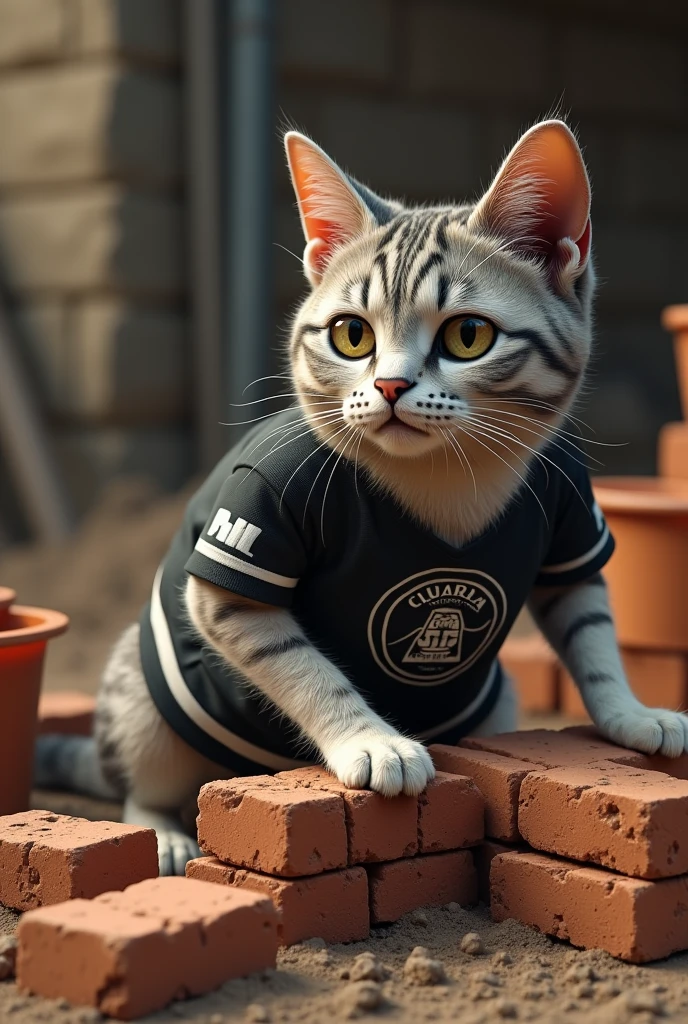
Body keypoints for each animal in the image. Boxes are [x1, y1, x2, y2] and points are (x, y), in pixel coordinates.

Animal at [37, 117, 688, 872]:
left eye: (469, 335)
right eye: (352, 334)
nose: (389, 385)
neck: (445, 476)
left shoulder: (571, 523)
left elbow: (593, 634)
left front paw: (632, 715)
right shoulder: (243, 549)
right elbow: (305, 668)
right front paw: (372, 740)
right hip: (144, 708)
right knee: (142, 785)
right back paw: (166, 833)